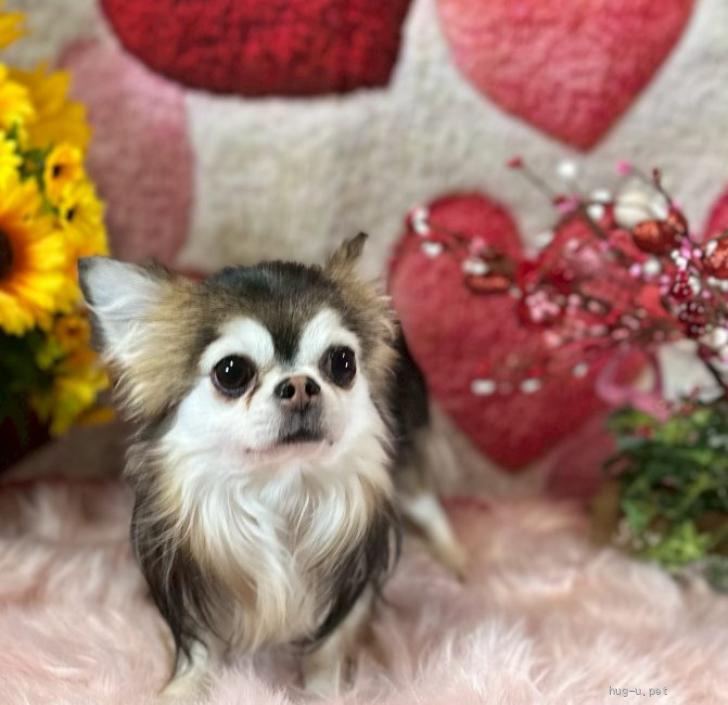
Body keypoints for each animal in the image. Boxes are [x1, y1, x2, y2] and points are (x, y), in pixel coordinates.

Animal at [79, 233, 464, 698]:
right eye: (231, 371)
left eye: (342, 362)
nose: (299, 385)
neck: (279, 486)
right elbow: (199, 650)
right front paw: (181, 690)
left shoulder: (351, 581)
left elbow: (329, 647)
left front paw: (324, 692)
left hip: (407, 452)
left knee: (428, 504)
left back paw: (457, 564)